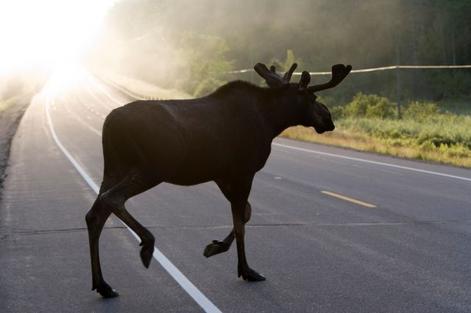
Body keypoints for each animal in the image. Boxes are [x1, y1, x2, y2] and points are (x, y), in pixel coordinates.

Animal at [85, 61, 352, 298]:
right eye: (313, 98)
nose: (329, 120)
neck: (271, 122)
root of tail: (109, 123)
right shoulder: (244, 171)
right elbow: (241, 222)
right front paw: (246, 270)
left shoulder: (223, 175)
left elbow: (246, 213)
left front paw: (215, 247)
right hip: (151, 168)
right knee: (112, 199)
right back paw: (146, 245)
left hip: (114, 168)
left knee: (94, 215)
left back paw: (103, 285)